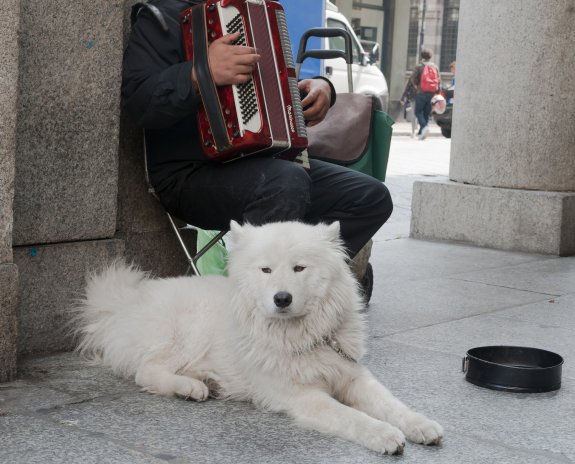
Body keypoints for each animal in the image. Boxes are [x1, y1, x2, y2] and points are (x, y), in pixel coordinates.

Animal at [74, 220, 444, 454]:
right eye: (265, 270)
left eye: (299, 268)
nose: (282, 298)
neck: (302, 337)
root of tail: (122, 304)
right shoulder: (300, 394)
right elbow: (351, 417)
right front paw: (384, 434)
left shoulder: (352, 375)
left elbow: (391, 403)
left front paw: (420, 424)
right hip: (190, 329)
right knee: (146, 371)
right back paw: (189, 387)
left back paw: (206, 380)